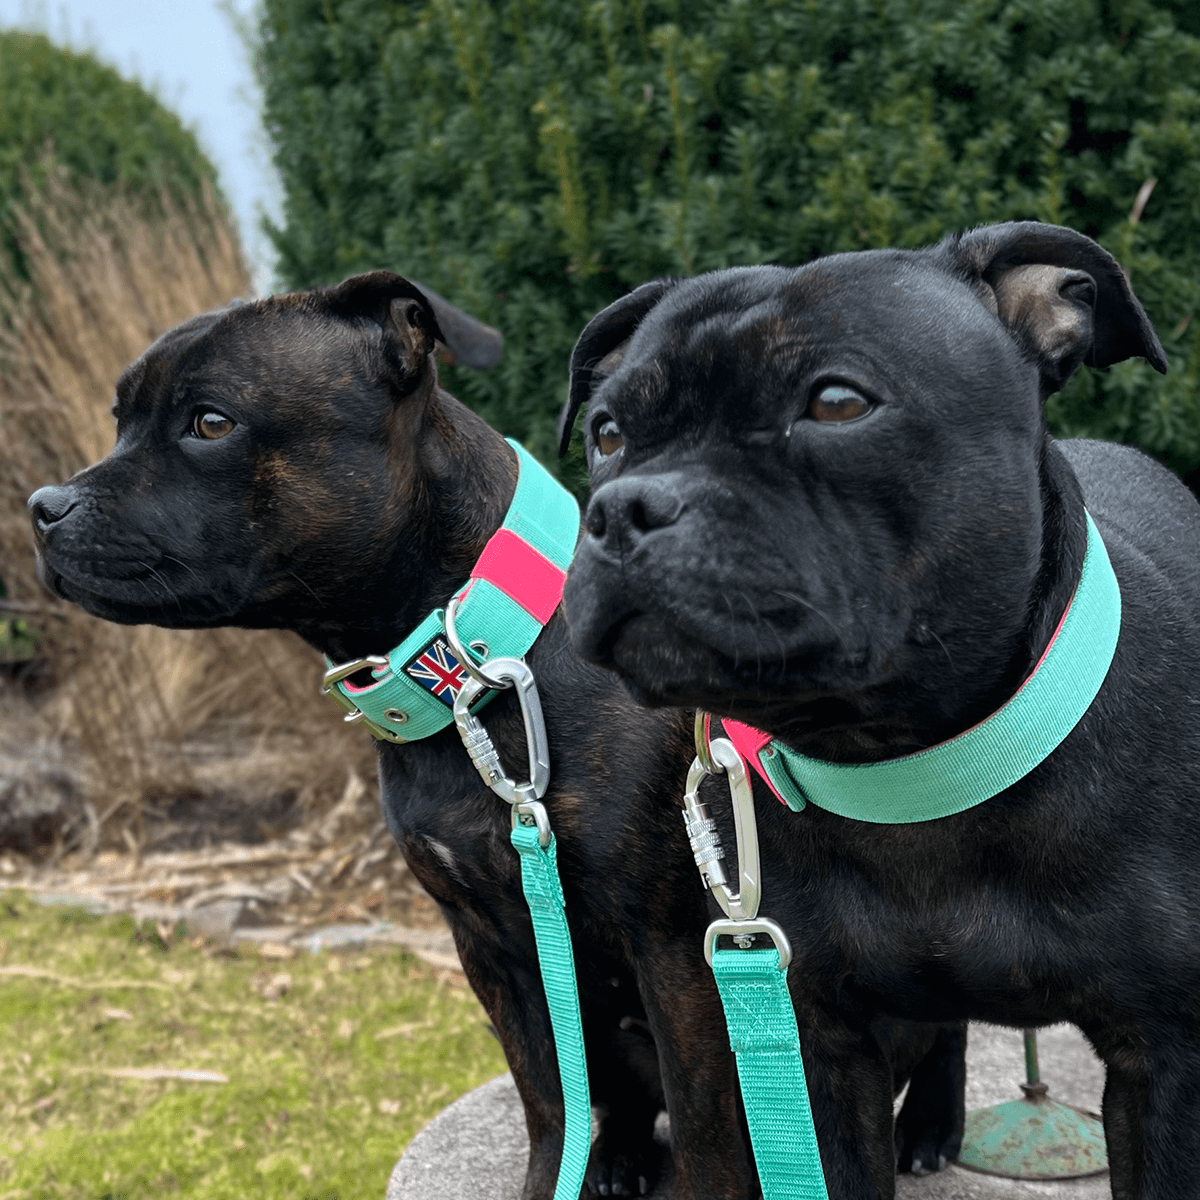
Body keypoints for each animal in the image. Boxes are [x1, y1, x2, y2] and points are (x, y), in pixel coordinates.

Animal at [556, 223, 1200, 1200]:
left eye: (836, 404)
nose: (622, 508)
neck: (910, 769)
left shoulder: (1161, 1062)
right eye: (607, 432)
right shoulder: (818, 1044)